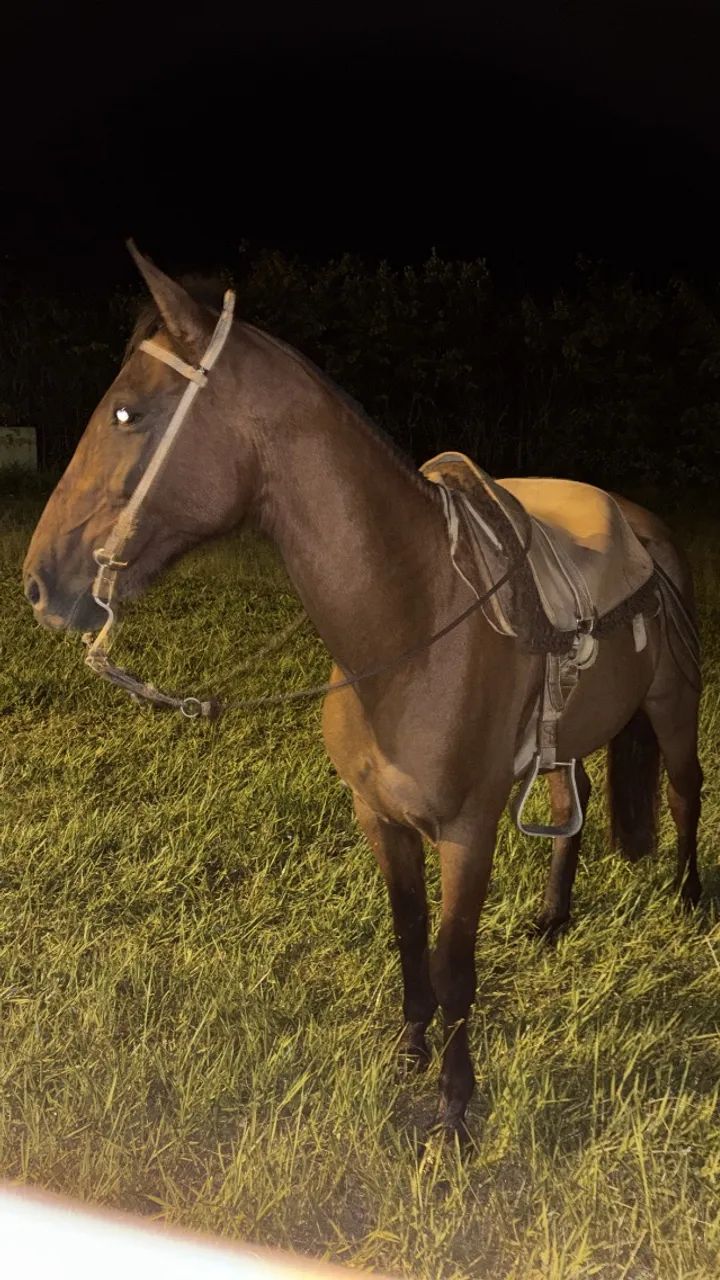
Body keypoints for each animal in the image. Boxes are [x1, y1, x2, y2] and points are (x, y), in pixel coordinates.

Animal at [22, 245, 703, 1140]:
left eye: (128, 415)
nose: (38, 583)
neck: (410, 626)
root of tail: (645, 528)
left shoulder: (468, 831)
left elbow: (454, 963)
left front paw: (454, 1107)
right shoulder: (379, 816)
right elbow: (409, 936)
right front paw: (410, 1052)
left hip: (674, 708)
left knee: (686, 791)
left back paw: (690, 899)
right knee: (573, 800)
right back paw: (554, 919)